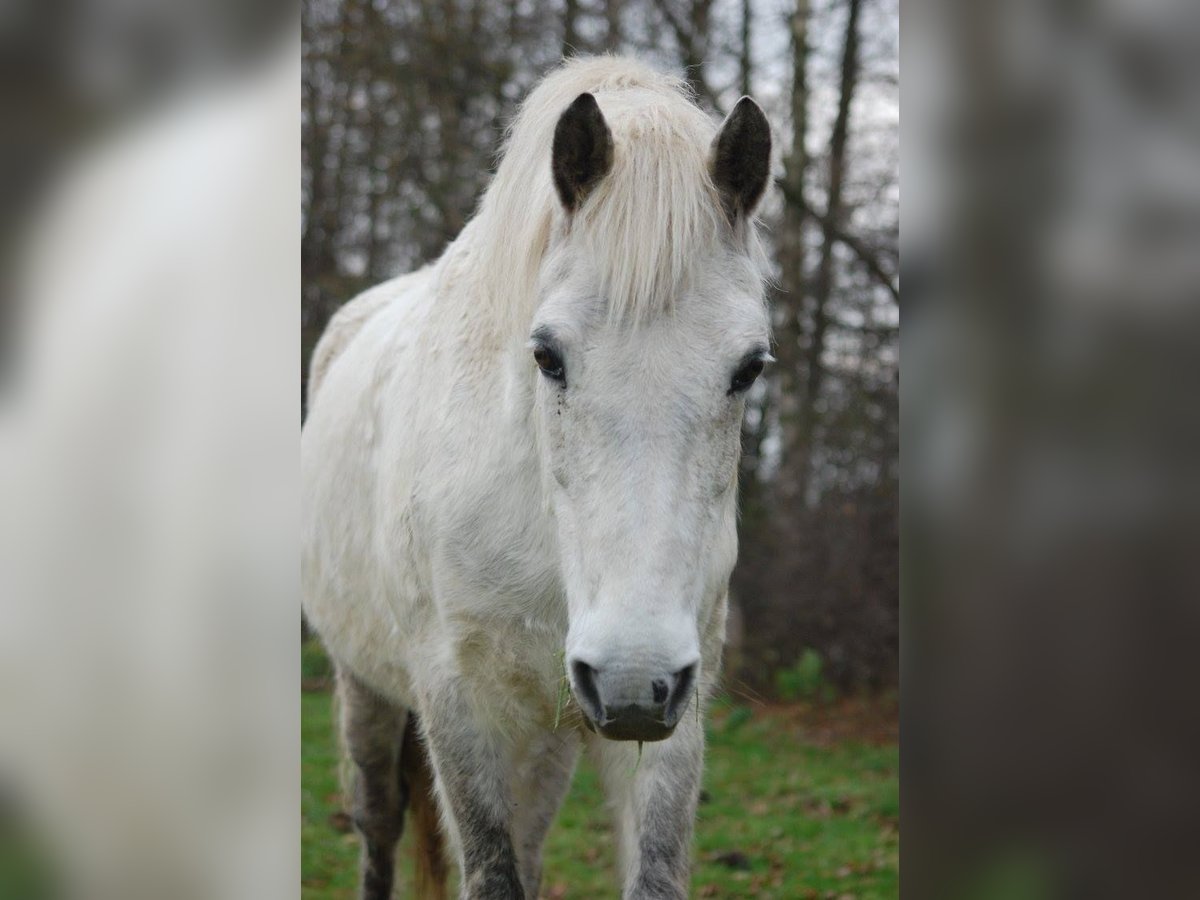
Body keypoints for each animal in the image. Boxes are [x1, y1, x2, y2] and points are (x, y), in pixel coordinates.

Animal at [300, 58, 768, 900]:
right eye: (547, 355)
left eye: (749, 367)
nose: (630, 677)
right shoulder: (459, 705)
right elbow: (490, 868)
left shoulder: (673, 717)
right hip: (366, 687)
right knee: (379, 826)